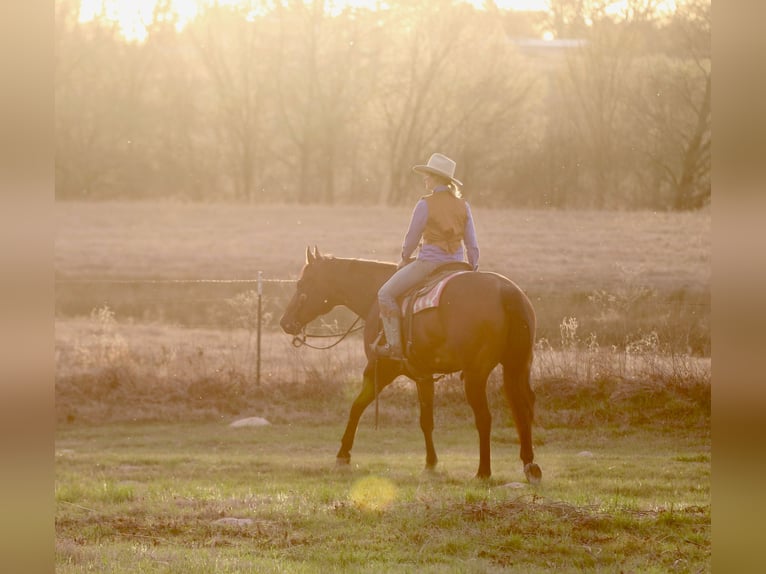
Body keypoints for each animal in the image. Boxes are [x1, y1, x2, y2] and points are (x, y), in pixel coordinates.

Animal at [279, 246, 541, 483]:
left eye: (301, 284)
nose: (285, 322)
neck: (376, 298)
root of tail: (506, 292)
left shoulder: (381, 369)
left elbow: (357, 406)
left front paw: (343, 455)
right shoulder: (424, 375)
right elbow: (426, 420)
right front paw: (430, 464)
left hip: (475, 374)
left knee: (484, 417)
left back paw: (483, 472)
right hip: (518, 367)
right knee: (524, 410)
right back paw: (530, 465)